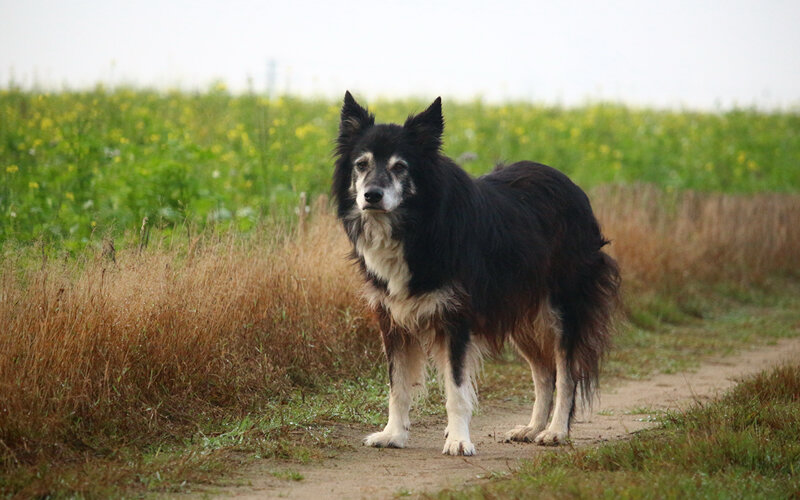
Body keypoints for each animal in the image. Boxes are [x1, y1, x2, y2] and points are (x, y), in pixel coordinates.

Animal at [332, 93, 620, 458]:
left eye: (400, 167)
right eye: (361, 164)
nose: (371, 196)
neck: (416, 226)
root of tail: (573, 187)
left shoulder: (456, 317)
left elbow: (456, 388)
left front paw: (458, 440)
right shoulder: (392, 317)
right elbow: (397, 386)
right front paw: (392, 435)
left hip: (561, 309)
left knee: (566, 372)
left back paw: (555, 431)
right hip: (521, 315)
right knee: (544, 373)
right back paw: (532, 428)